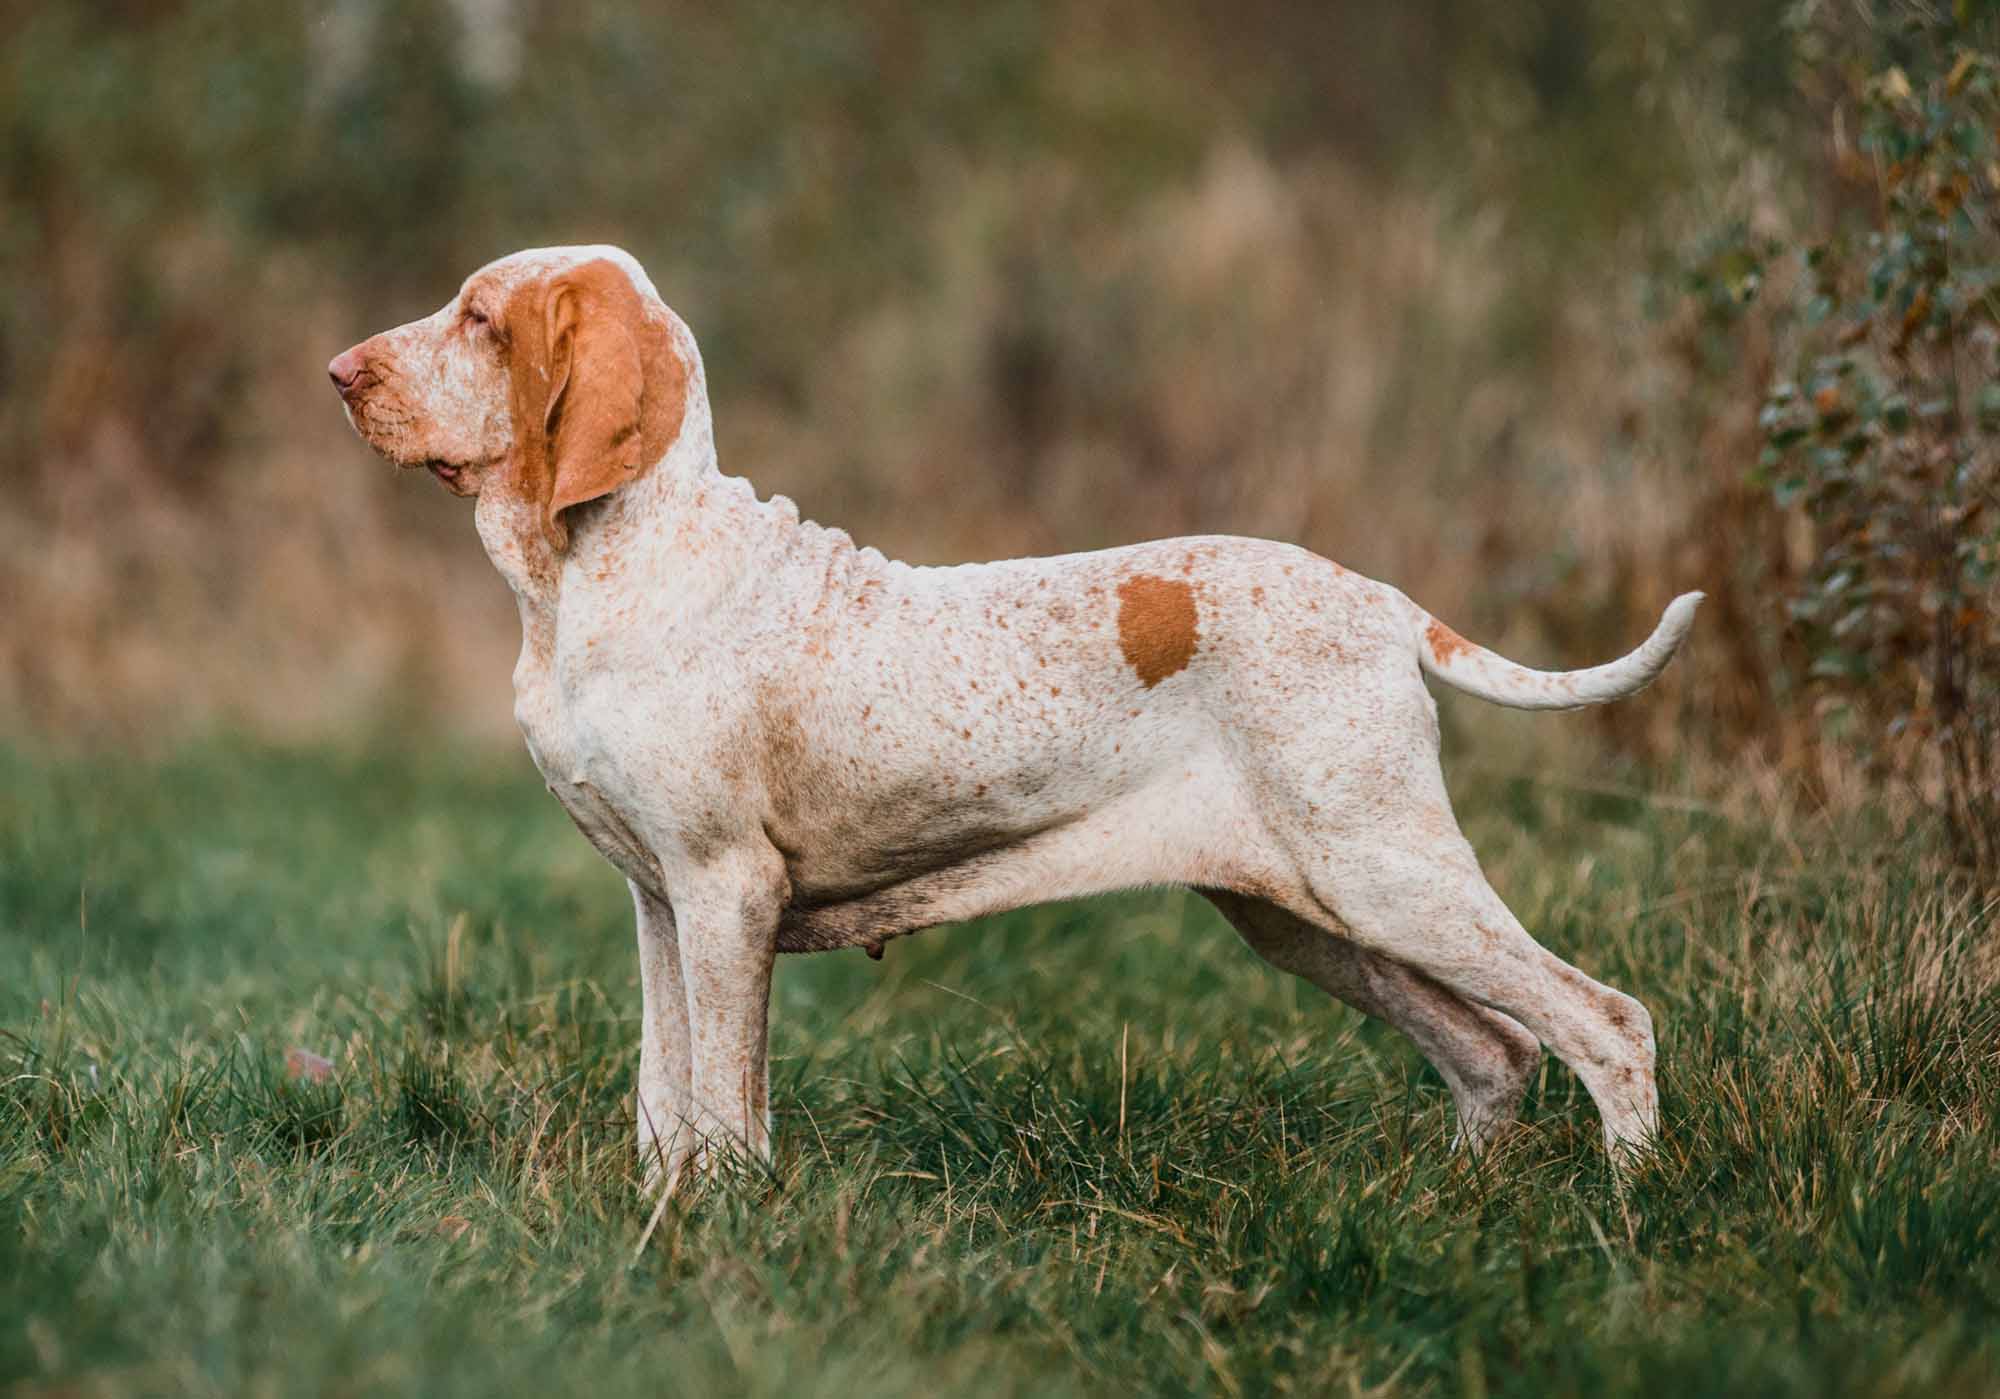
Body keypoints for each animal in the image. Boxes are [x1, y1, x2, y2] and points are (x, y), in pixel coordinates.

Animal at [332, 245, 1704, 1183]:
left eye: (479, 318)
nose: (338, 374)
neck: (599, 575)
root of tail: (1384, 604)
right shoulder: (658, 902)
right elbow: (662, 1097)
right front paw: (665, 1211)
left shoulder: (723, 892)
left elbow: (721, 1104)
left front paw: (717, 1222)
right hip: (1309, 914)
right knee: (1493, 1051)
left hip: (1387, 877)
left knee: (1606, 1023)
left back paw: (1626, 1210)